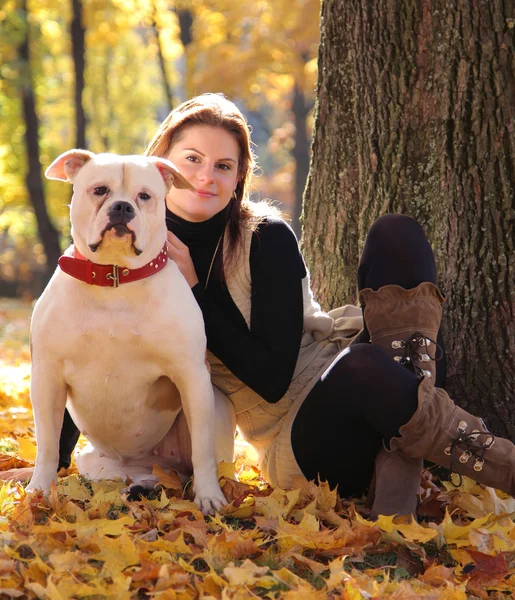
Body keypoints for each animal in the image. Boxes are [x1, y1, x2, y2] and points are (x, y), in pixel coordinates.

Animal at [28, 149, 234, 510]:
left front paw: (209, 496)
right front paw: (39, 490)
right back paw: (140, 487)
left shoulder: (192, 376)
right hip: (98, 461)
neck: (116, 278)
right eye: (100, 190)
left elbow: (203, 450)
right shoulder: (47, 376)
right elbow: (48, 445)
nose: (122, 207)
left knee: (192, 465)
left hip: (216, 406)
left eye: (145, 196)